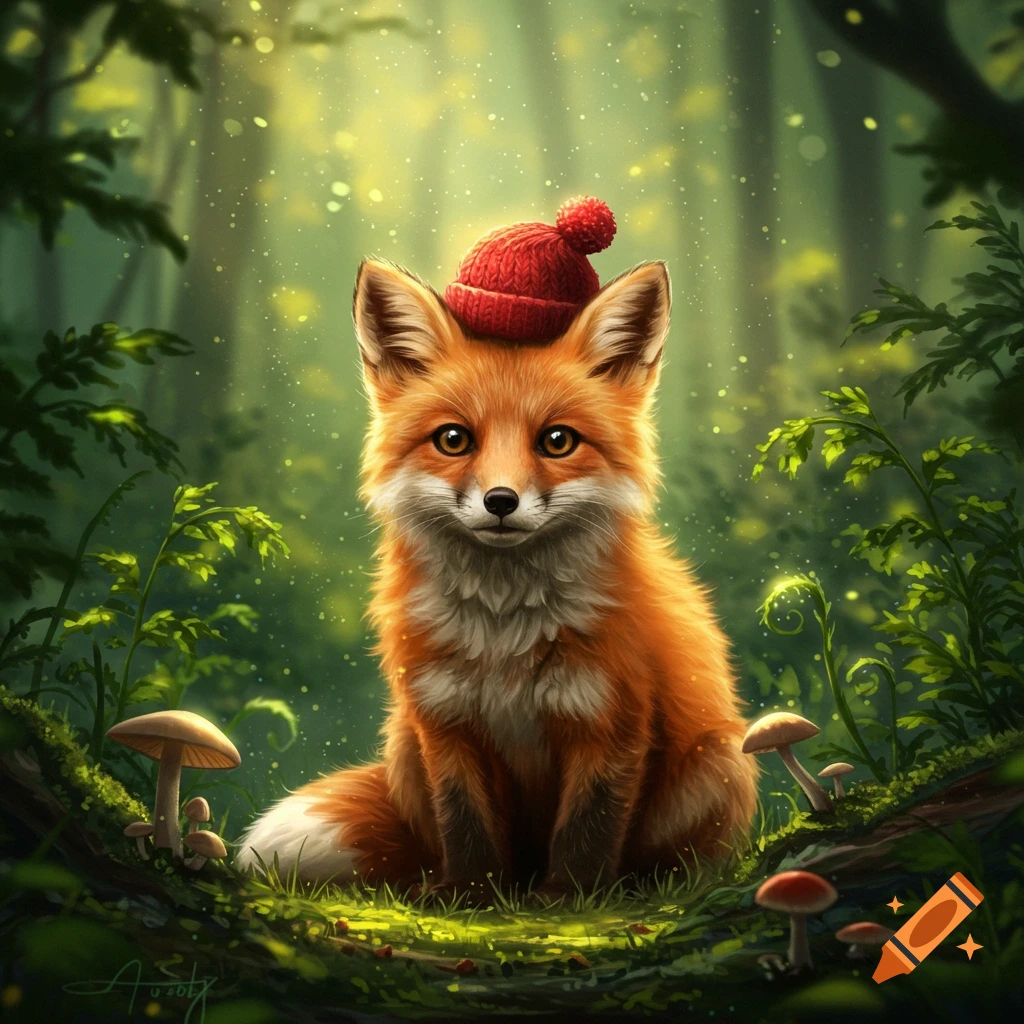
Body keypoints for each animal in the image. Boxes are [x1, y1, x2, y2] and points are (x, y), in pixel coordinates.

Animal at [235, 253, 758, 900]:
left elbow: (587, 832)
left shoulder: (612, 723)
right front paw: (470, 898)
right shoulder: (445, 723)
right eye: (453, 439)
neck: (505, 633)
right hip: (404, 741)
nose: (501, 501)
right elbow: (466, 826)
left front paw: (570, 903)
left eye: (557, 440)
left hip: (719, 764)